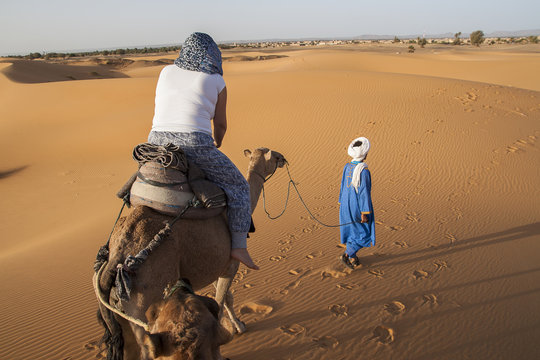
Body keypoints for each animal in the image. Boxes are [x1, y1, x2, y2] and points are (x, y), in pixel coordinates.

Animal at [96, 147, 286, 360]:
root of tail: (116, 258)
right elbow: (221, 301)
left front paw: (238, 326)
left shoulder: (215, 266)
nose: (284, 159)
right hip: (143, 299)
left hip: (120, 310)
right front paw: (234, 332)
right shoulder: (231, 265)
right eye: (275, 157)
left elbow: (225, 298)